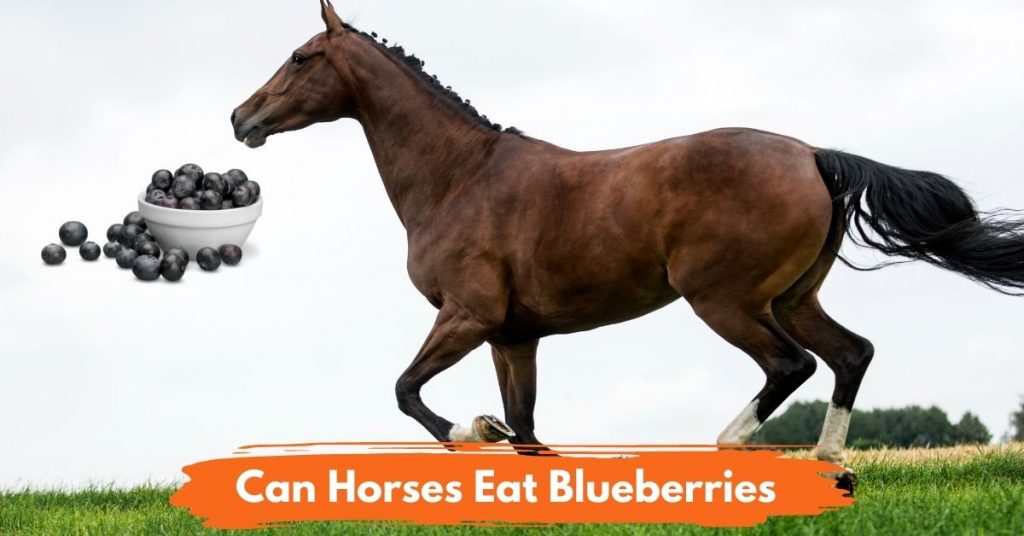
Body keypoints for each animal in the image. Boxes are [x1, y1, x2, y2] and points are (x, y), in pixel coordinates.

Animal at [232, 1, 1024, 493]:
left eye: (301, 57)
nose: (241, 117)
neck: (458, 176)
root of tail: (813, 155)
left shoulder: (467, 316)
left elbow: (409, 392)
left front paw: (474, 428)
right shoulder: (513, 336)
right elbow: (524, 426)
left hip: (726, 301)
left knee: (791, 365)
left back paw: (733, 451)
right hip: (793, 297)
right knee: (850, 354)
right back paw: (832, 467)